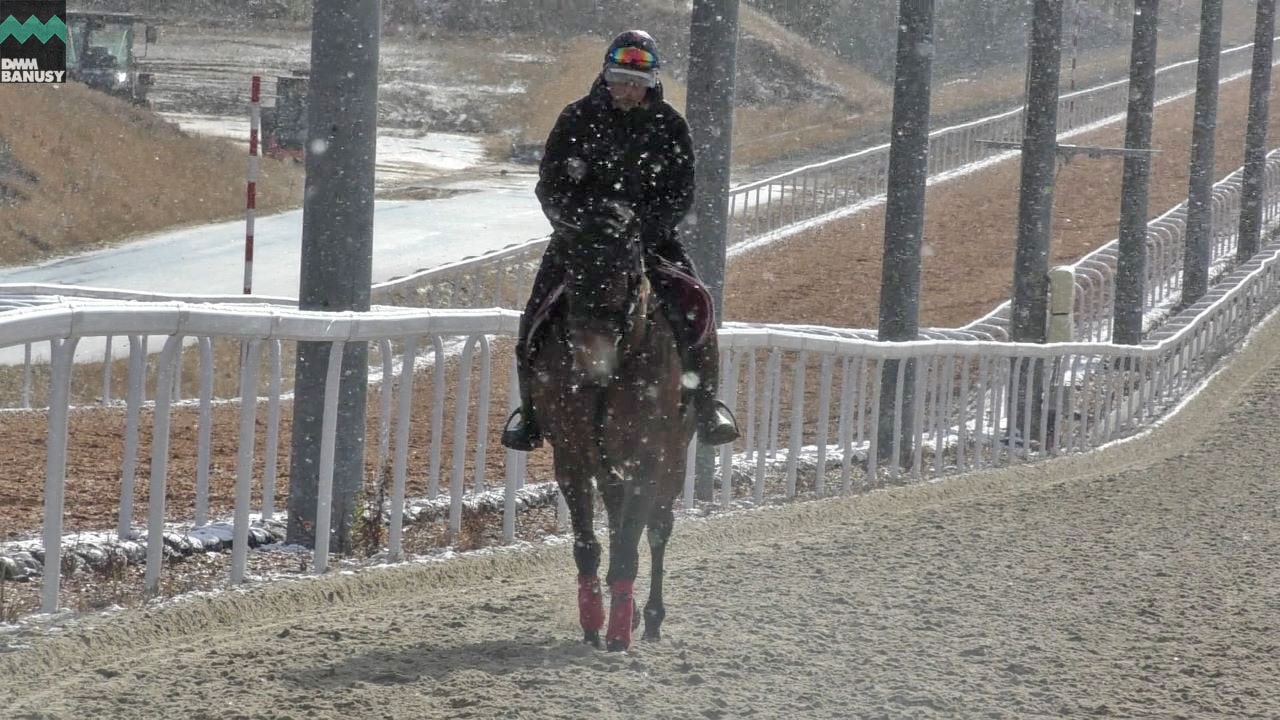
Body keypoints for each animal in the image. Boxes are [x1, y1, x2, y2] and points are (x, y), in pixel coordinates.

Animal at [522, 204, 696, 648]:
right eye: (572, 269)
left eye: (626, 269)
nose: (591, 363)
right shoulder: (572, 454)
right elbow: (589, 544)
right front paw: (592, 622)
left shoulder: (649, 455)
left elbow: (632, 546)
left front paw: (618, 631)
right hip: (607, 465)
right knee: (619, 520)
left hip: (674, 455)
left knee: (657, 529)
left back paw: (649, 617)